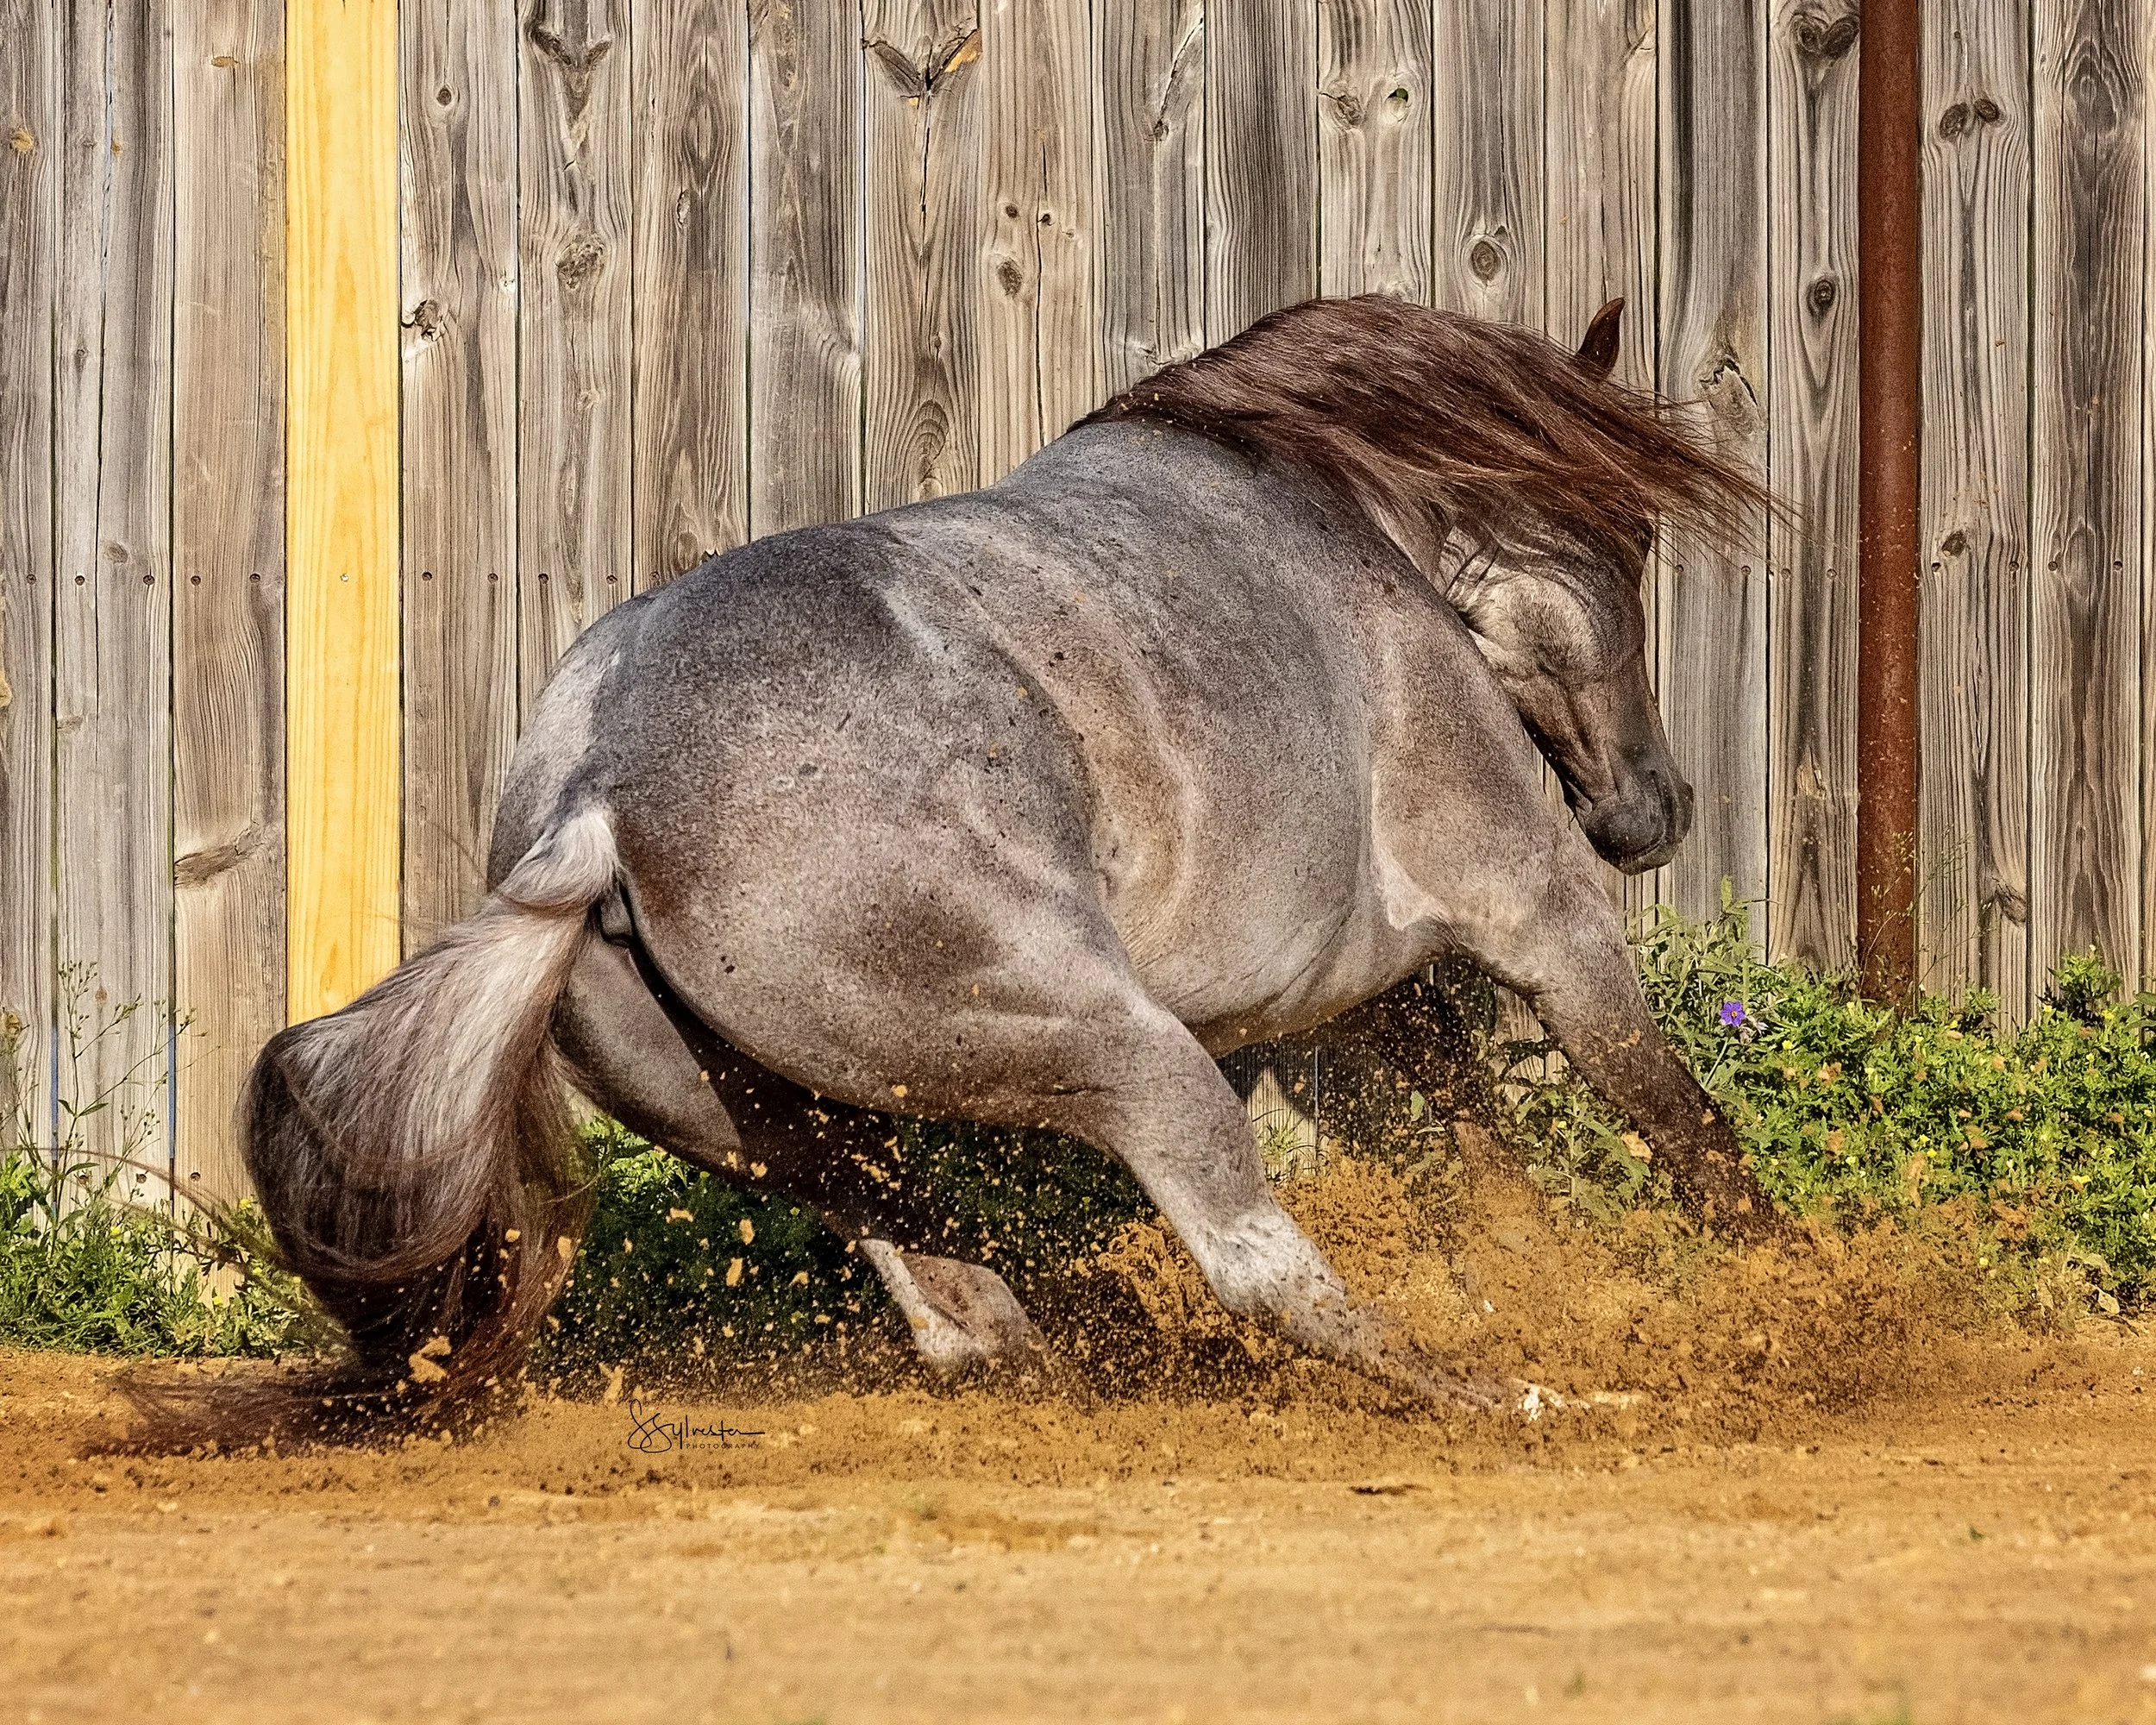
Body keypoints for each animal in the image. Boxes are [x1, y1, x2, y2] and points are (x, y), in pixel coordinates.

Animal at [212, 294, 1778, 1434]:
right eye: (1622, 539)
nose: (1654, 808)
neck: (1352, 534)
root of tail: (594, 795)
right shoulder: (1538, 915)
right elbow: (1685, 1128)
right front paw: (1796, 1304)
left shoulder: (1358, 1003)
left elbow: (1484, 1162)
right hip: (1125, 1052)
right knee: (1255, 1272)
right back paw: (1521, 1396)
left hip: (790, 1132)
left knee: (959, 1306)